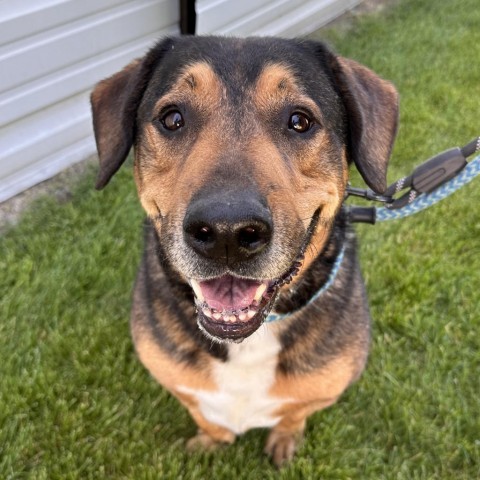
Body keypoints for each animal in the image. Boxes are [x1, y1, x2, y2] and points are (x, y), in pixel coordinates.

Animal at [90, 35, 398, 466]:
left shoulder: (327, 384)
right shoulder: (176, 379)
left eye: (300, 121)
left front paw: (285, 439)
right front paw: (211, 441)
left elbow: (295, 412)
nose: (227, 233)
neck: (249, 340)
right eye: (172, 118)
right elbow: (204, 415)